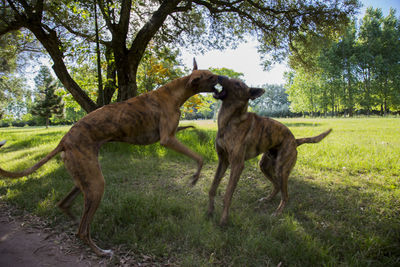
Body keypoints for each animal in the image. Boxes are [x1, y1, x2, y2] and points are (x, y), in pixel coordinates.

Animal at [0, 60, 222, 258]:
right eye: (211, 76)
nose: (222, 77)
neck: (176, 91)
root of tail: (64, 141)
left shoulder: (172, 133)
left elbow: (192, 127)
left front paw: (201, 134)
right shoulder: (167, 139)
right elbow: (199, 157)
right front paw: (195, 177)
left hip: (85, 180)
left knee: (66, 207)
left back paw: (76, 223)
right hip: (96, 183)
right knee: (83, 230)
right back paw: (100, 252)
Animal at [208, 77, 332, 226]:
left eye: (237, 84)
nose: (218, 76)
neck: (230, 120)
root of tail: (294, 141)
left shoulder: (237, 165)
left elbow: (227, 195)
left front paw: (224, 219)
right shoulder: (223, 161)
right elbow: (212, 188)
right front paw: (210, 211)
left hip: (281, 170)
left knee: (285, 195)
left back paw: (278, 212)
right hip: (264, 166)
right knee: (277, 186)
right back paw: (268, 199)